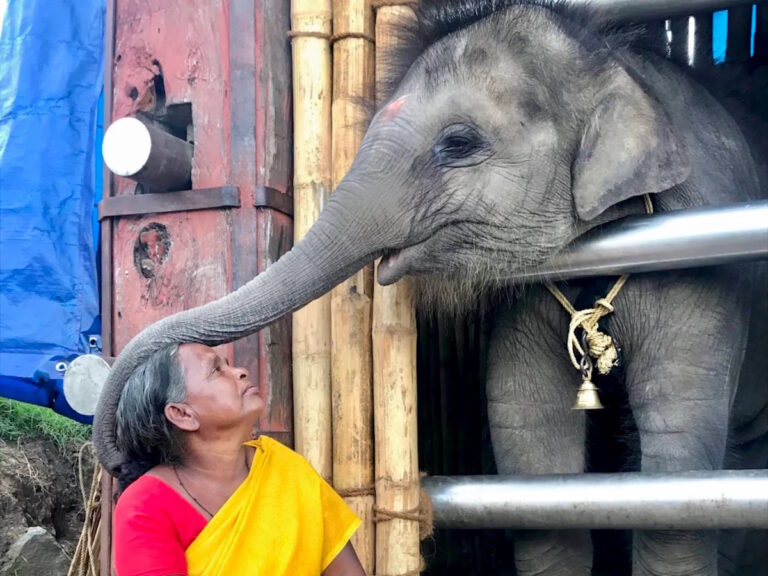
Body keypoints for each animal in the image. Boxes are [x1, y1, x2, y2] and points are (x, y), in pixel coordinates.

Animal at [94, 1, 768, 574]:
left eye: (458, 143)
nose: (121, 459)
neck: (621, 69)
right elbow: (536, 464)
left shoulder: (704, 273)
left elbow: (678, 475)